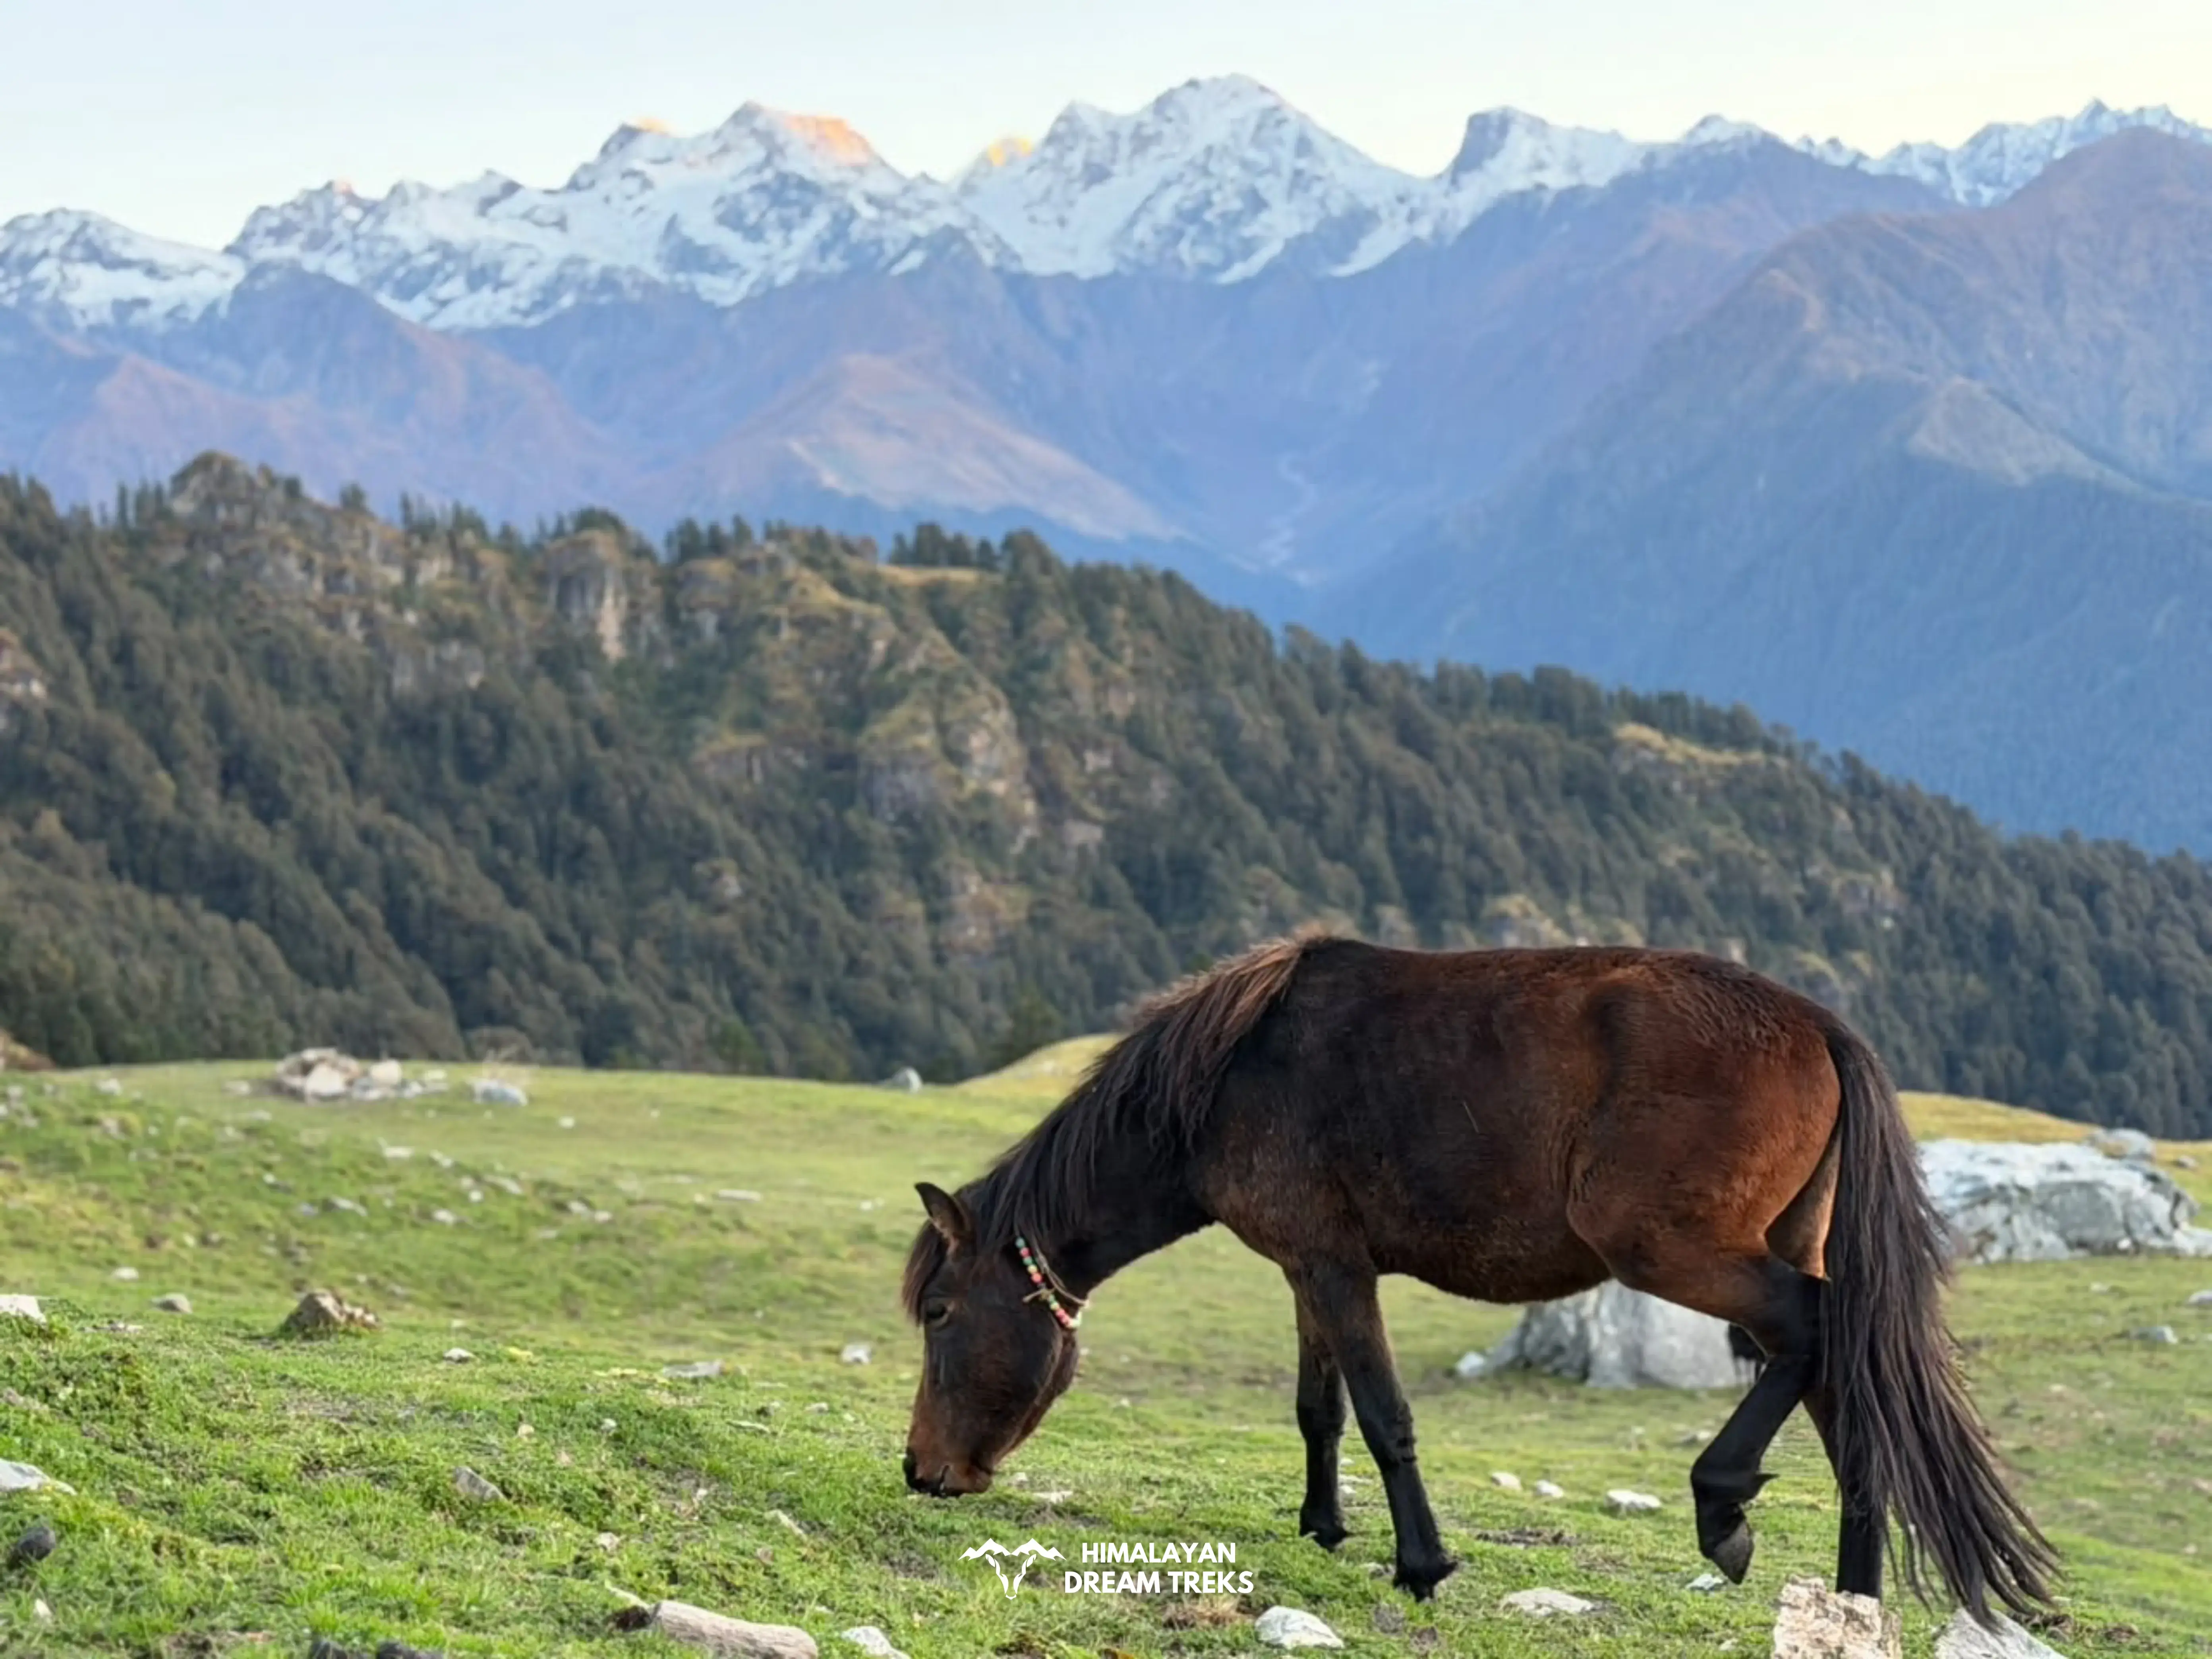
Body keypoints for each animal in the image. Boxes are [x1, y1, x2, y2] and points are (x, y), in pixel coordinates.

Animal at [900, 933, 2056, 1624]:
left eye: (941, 1312)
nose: (923, 1472)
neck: (1227, 1076)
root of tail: (1817, 1024)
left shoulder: (1336, 1268)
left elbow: (1382, 1416)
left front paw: (1420, 1563)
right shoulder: (1307, 1271)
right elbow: (1318, 1408)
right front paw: (1323, 1525)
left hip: (1674, 1250)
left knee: (1809, 1333)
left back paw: (1721, 1501)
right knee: (1835, 1381)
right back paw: (1855, 1597)